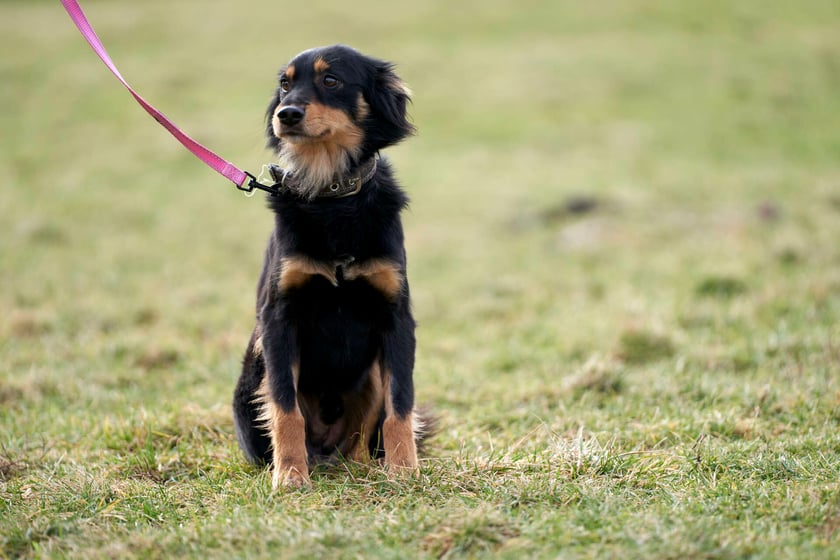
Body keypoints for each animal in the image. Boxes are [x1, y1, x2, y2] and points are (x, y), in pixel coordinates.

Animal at [231, 46, 426, 488]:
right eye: (285, 84)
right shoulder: (278, 319)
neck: (333, 195)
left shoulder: (396, 317)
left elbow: (400, 404)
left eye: (331, 80)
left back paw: (365, 467)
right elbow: (285, 408)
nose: (286, 113)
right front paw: (290, 475)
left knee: (359, 441)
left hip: (370, 375)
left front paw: (404, 470)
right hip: (252, 372)